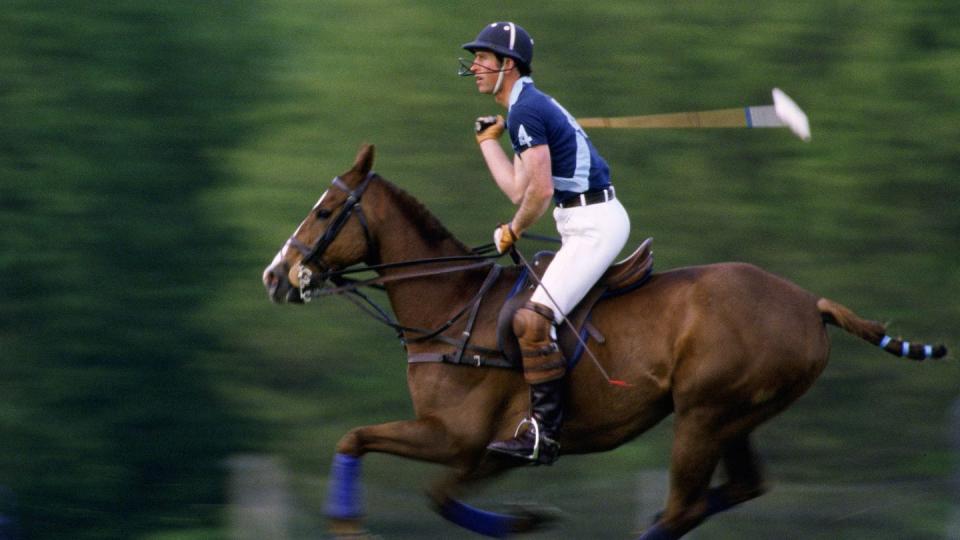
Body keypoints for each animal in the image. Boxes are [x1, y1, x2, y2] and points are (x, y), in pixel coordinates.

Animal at [260, 144, 944, 540]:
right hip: (737, 415)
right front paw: (529, 519)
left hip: (703, 413)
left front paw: (347, 525)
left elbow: (354, 438)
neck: (453, 306)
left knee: (683, 508)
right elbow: (438, 495)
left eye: (324, 212)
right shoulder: (483, 452)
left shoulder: (454, 434)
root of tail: (810, 302)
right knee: (739, 490)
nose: (275, 276)